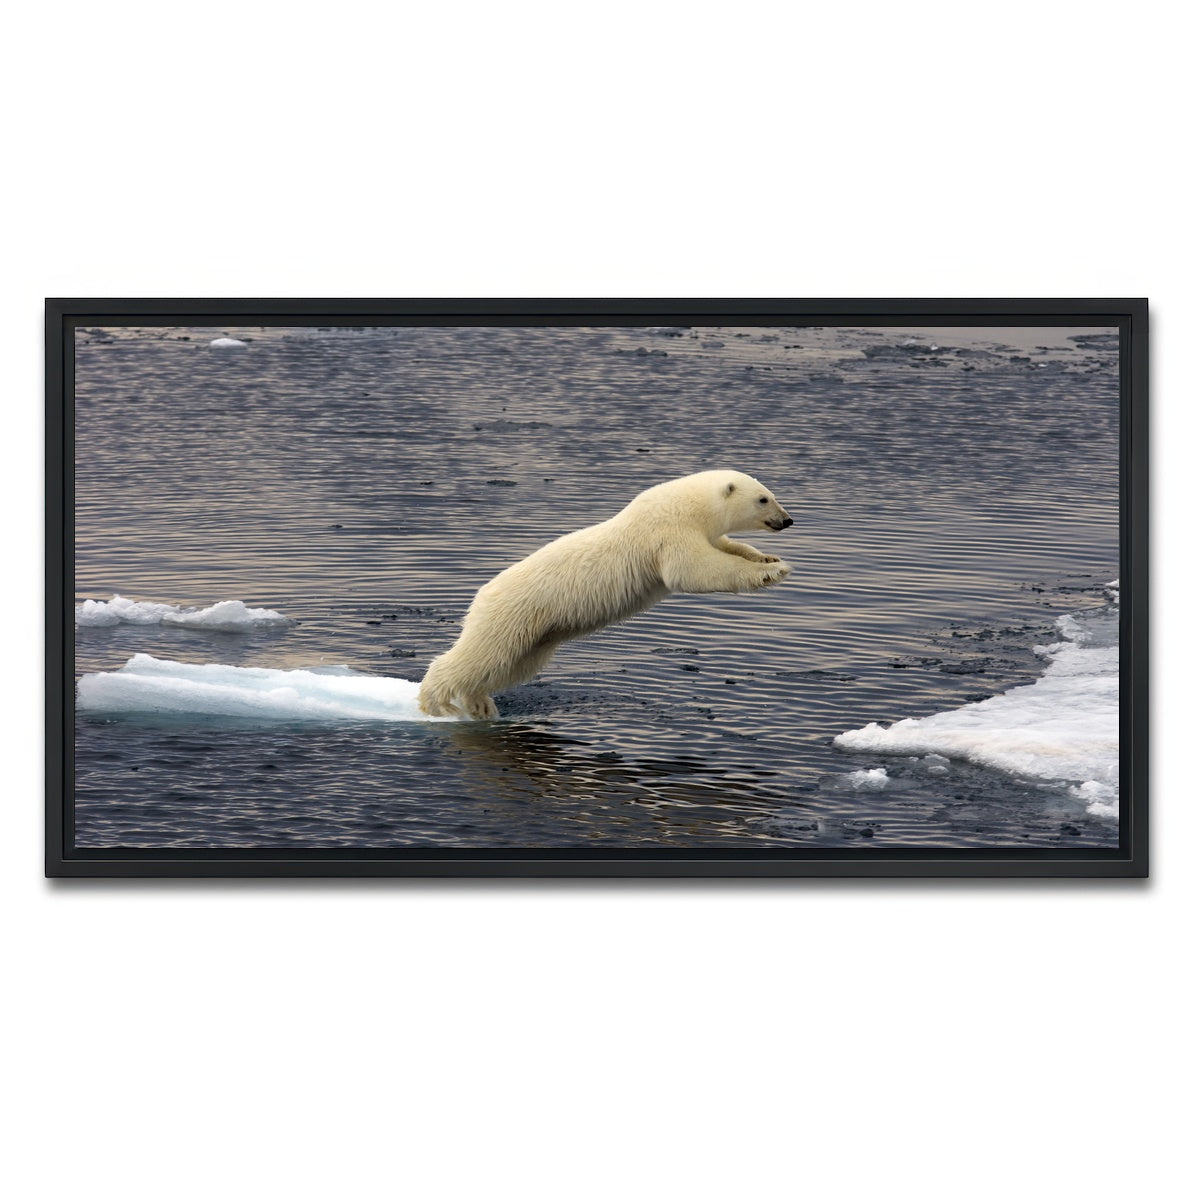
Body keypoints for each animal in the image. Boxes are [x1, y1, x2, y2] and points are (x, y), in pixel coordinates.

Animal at [416, 469, 793, 720]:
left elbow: (727, 546)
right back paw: (436, 703)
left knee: (509, 665)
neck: (687, 504)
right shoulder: (667, 532)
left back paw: (480, 704)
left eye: (772, 493)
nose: (787, 520)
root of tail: (481, 595)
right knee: (481, 655)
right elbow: (694, 570)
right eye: (764, 498)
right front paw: (770, 572)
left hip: (537, 634)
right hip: (514, 614)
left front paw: (768, 558)